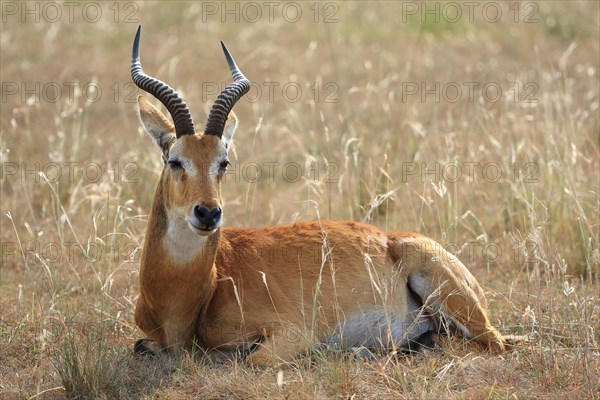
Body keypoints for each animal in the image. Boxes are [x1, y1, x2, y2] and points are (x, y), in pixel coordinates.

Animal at [131, 26, 510, 368]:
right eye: (174, 159)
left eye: (223, 162)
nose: (208, 213)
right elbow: (142, 346)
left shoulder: (293, 333)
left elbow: (252, 358)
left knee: (491, 344)